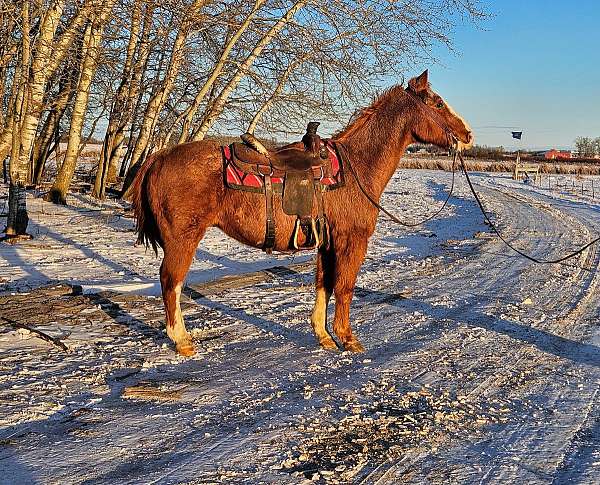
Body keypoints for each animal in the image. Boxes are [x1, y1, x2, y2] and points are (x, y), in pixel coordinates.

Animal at [131, 69, 474, 356]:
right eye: (439, 104)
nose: (468, 135)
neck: (356, 167)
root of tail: (159, 156)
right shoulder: (351, 241)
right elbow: (345, 287)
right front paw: (347, 338)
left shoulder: (326, 244)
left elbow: (324, 285)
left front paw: (323, 335)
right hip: (183, 239)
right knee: (171, 282)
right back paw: (182, 340)